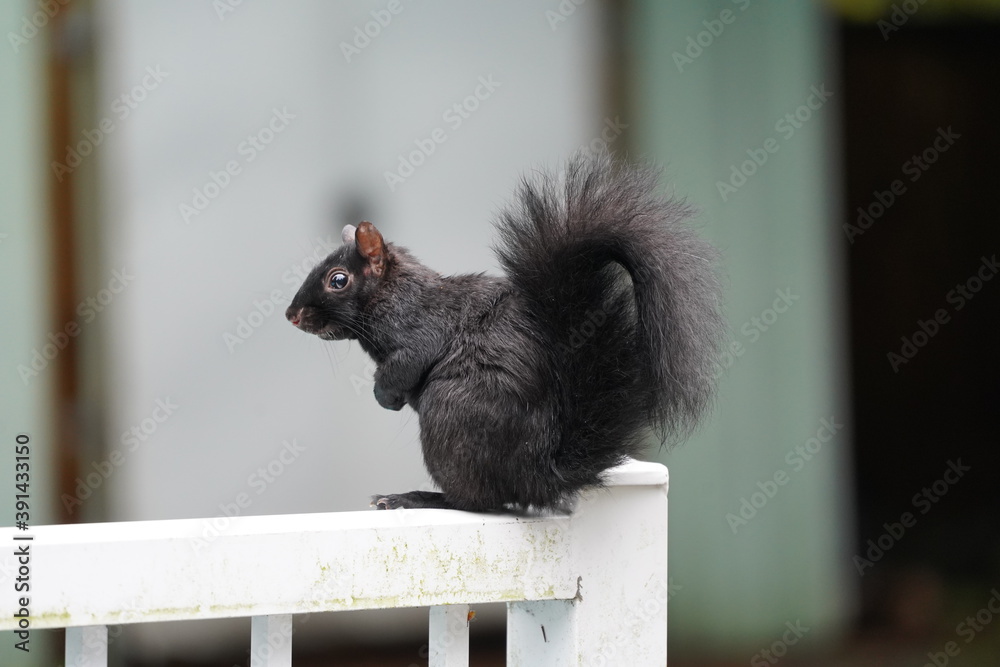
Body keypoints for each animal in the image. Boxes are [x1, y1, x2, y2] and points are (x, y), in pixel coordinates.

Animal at [286, 154, 724, 512]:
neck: (391, 293)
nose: (292, 315)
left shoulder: (420, 328)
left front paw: (385, 395)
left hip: (450, 415)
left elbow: (406, 364)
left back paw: (416, 497)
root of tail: (539, 476)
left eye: (338, 280)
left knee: (481, 501)